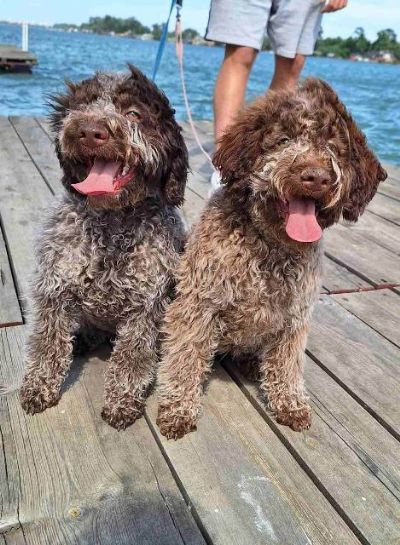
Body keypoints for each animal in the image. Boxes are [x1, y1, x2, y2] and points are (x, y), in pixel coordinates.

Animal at [21, 65, 189, 430]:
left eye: (134, 113)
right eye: (81, 106)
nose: (88, 130)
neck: (113, 225)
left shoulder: (146, 307)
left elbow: (131, 359)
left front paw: (122, 401)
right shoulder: (54, 292)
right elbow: (46, 346)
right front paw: (39, 386)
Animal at [157, 78, 388, 440]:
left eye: (333, 147)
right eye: (283, 141)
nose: (316, 176)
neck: (269, 246)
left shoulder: (295, 318)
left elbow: (287, 363)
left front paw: (290, 403)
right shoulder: (198, 305)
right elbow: (185, 357)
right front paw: (178, 408)